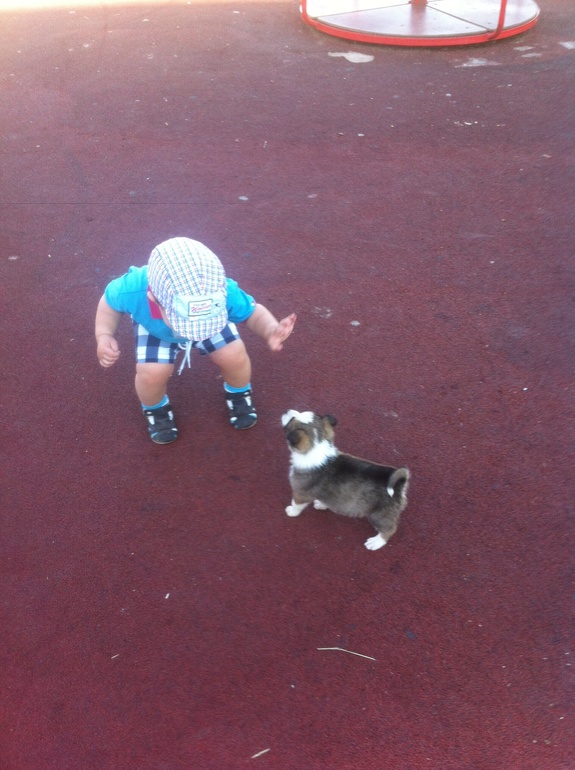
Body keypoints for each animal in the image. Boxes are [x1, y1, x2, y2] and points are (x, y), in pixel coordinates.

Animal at [281, 410, 410, 551]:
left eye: (291, 420)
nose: (287, 411)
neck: (316, 445)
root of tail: (399, 484)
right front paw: (321, 504)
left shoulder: (300, 493)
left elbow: (296, 504)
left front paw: (291, 512)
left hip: (379, 516)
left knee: (389, 530)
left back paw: (375, 542)